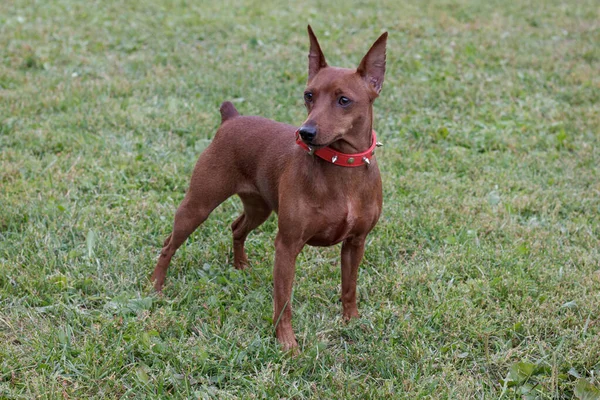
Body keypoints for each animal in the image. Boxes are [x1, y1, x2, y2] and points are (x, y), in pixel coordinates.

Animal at [152, 25, 386, 350]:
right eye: (308, 95)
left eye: (344, 100)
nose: (305, 132)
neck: (341, 165)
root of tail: (231, 118)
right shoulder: (287, 246)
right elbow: (283, 301)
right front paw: (287, 344)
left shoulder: (356, 243)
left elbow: (349, 287)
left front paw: (352, 322)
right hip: (197, 206)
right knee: (168, 245)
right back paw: (156, 287)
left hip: (259, 208)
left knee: (236, 227)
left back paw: (240, 266)